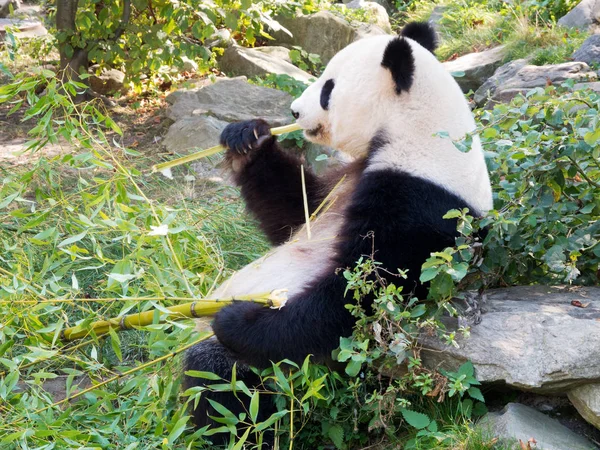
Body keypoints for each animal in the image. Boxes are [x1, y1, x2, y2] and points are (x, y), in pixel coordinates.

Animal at [184, 20, 492, 442]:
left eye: (328, 88)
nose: (294, 110)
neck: (420, 130)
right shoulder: (347, 177)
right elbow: (295, 213)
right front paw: (248, 138)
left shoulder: (421, 201)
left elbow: (355, 297)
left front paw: (237, 316)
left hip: (307, 378)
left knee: (225, 382)